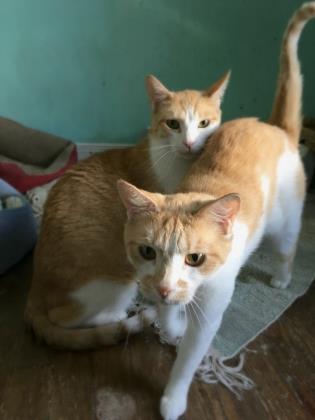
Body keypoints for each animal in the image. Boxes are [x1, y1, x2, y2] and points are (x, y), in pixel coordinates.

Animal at [117, 4, 314, 420]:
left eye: (195, 258)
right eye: (147, 252)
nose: (164, 287)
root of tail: (276, 128)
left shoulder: (210, 312)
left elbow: (188, 358)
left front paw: (173, 399)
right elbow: (167, 314)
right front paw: (171, 325)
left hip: (285, 222)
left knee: (287, 247)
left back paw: (282, 278)